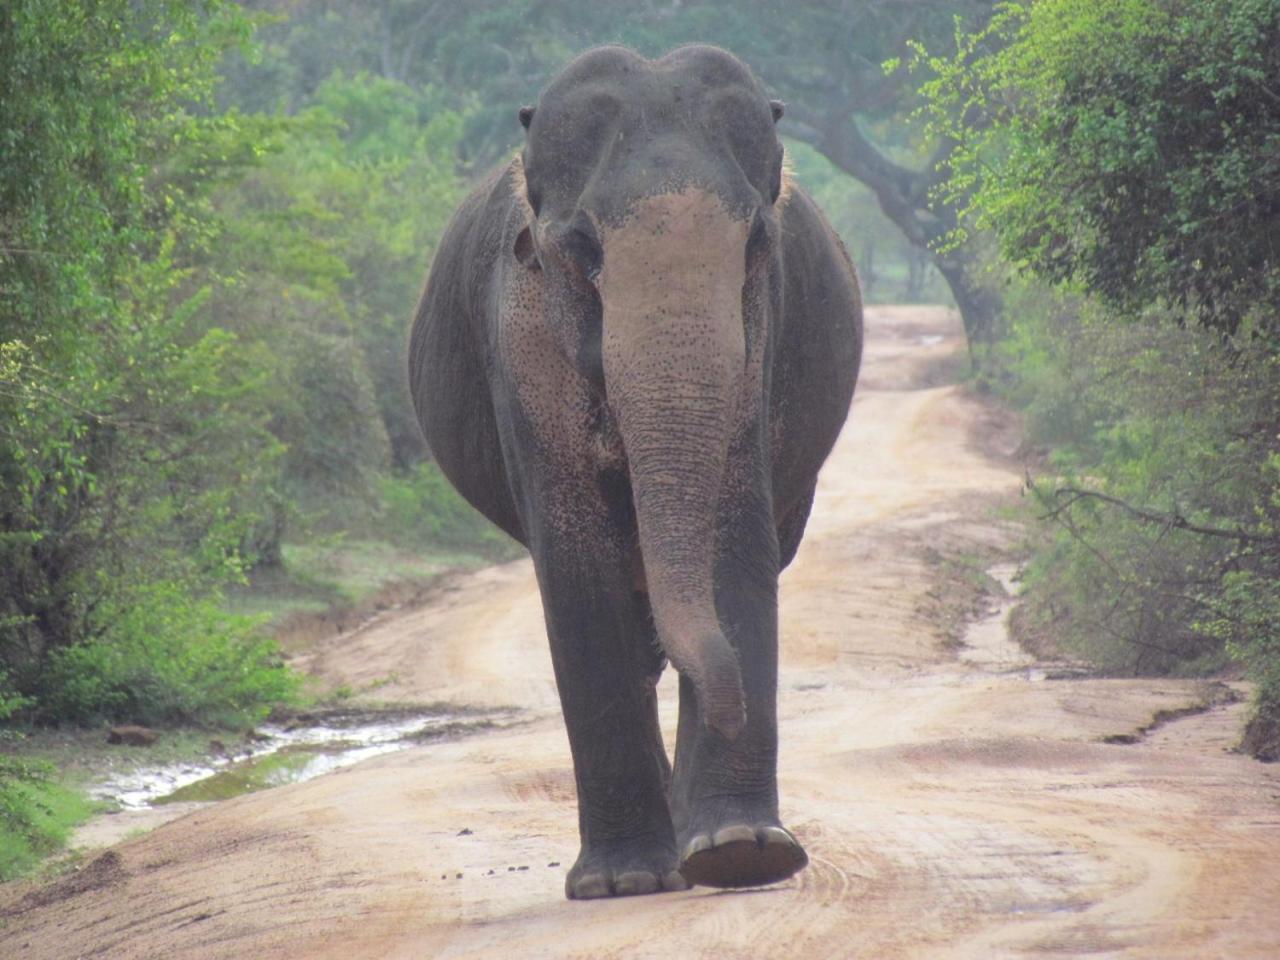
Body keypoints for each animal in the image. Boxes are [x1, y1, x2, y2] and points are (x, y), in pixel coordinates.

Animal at [409, 43, 865, 901]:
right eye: (583, 248)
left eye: (758, 243)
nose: (733, 710)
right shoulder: (521, 343)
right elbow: (576, 569)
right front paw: (622, 883)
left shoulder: (758, 339)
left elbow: (734, 538)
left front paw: (741, 851)